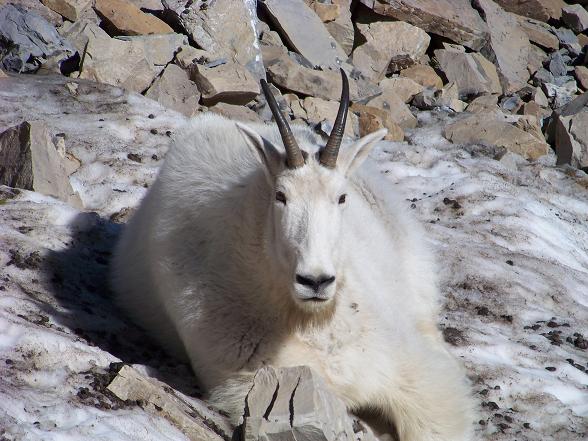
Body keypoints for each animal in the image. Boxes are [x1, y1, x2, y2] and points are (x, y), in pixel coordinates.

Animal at [112, 70, 476, 438]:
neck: (310, 320)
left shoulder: (411, 372)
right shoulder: (245, 380)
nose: (315, 281)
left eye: (342, 197)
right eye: (281, 196)